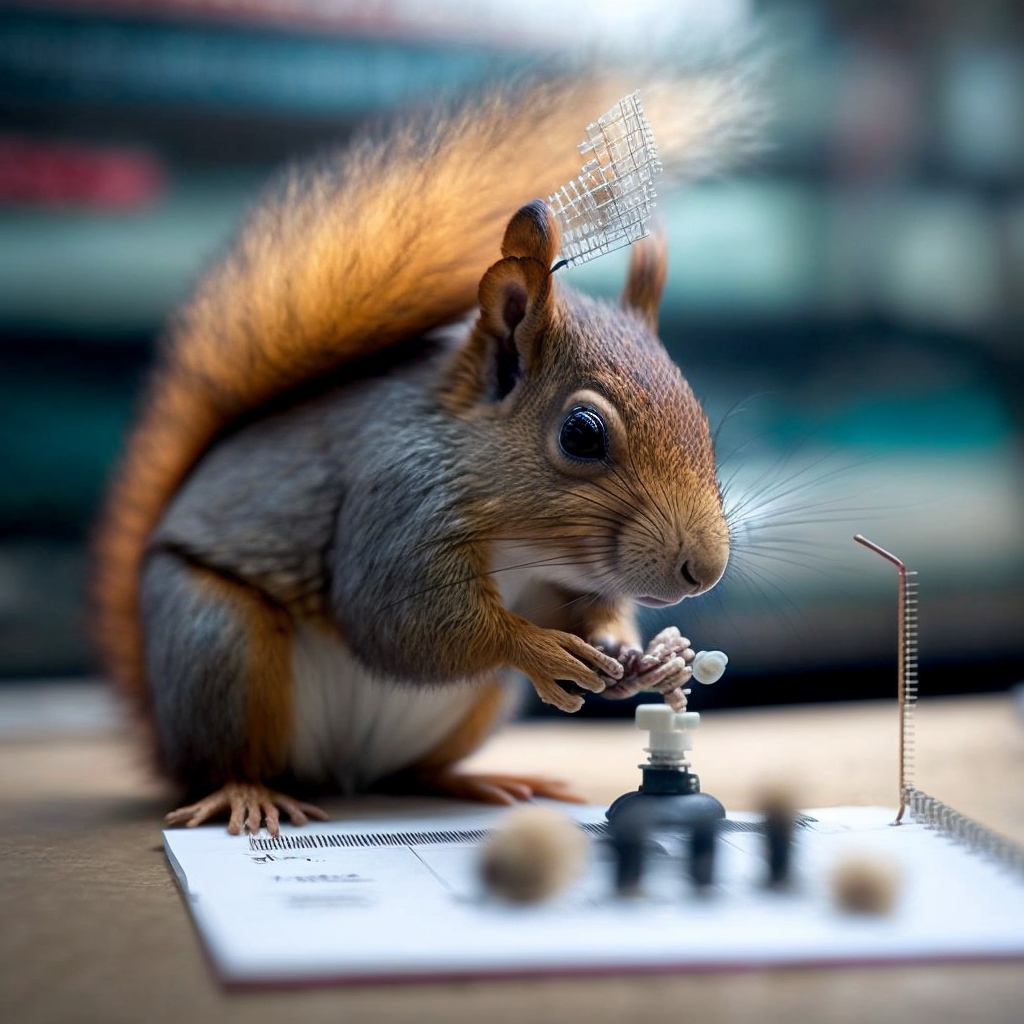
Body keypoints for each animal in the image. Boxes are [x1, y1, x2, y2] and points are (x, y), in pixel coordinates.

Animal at [94, 64, 761, 835]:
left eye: (699, 413)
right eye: (582, 434)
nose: (703, 570)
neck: (525, 540)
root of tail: (342, 772)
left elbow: (583, 611)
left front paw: (644, 653)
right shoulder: (397, 496)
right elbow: (400, 620)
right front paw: (536, 646)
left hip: (474, 707)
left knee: (413, 770)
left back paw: (479, 781)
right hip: (216, 641)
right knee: (227, 753)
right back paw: (245, 793)